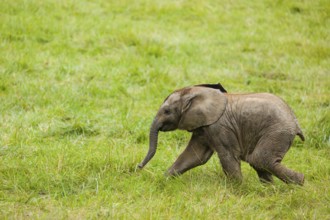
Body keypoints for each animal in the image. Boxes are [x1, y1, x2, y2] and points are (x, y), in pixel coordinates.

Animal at [138, 83, 306, 185]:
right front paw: (163, 181)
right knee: (260, 161)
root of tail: (296, 122)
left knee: (259, 159)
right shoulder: (204, 126)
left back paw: (300, 183)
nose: (138, 167)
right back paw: (271, 190)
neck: (197, 92)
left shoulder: (219, 126)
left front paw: (240, 190)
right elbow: (194, 156)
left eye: (167, 111)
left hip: (277, 131)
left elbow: (228, 156)